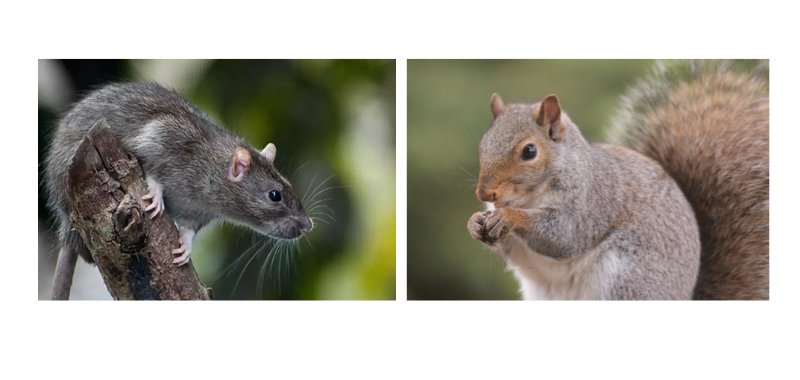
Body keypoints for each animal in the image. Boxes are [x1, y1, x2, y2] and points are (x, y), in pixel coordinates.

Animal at [45, 82, 316, 300]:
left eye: (288, 187)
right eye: (275, 195)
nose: (308, 226)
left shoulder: (198, 213)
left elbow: (188, 228)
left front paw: (185, 246)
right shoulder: (164, 139)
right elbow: (150, 166)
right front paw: (156, 192)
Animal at [468, 60, 768, 300]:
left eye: (529, 151)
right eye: (483, 144)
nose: (484, 194)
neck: (528, 198)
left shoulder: (590, 202)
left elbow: (565, 237)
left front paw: (511, 217)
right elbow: (514, 252)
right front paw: (474, 222)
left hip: (630, 281)